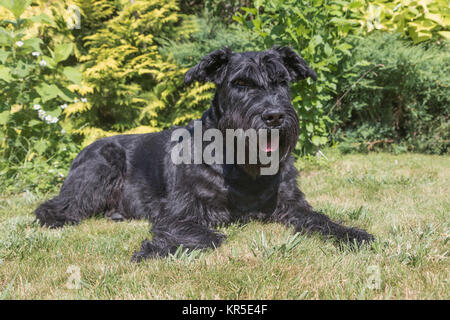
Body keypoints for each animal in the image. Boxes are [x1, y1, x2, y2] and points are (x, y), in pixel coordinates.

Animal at [34, 46, 372, 262]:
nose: (274, 116)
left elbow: (322, 220)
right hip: (101, 166)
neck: (240, 166)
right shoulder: (181, 212)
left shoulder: (291, 204)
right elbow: (209, 236)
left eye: (281, 81)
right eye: (241, 83)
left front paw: (353, 234)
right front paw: (156, 249)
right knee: (51, 206)